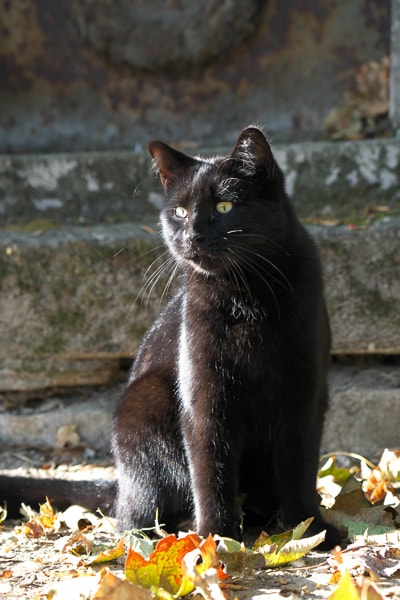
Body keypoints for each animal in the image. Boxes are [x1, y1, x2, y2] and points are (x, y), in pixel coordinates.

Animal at [112, 126, 340, 548]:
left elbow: (299, 466)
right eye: (181, 212)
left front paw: (310, 528)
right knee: (135, 518)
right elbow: (210, 471)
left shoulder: (306, 392)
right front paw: (213, 539)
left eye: (223, 207)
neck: (246, 294)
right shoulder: (204, 397)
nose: (193, 235)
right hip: (143, 405)